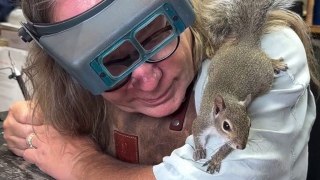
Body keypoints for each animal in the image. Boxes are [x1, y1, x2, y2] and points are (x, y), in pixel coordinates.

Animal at [191, 0, 294, 174]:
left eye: (250, 123)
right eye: (226, 126)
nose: (242, 146)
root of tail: (247, 44)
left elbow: (226, 148)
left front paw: (216, 159)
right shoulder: (202, 122)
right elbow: (196, 132)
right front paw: (199, 150)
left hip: (264, 77)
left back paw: (275, 63)